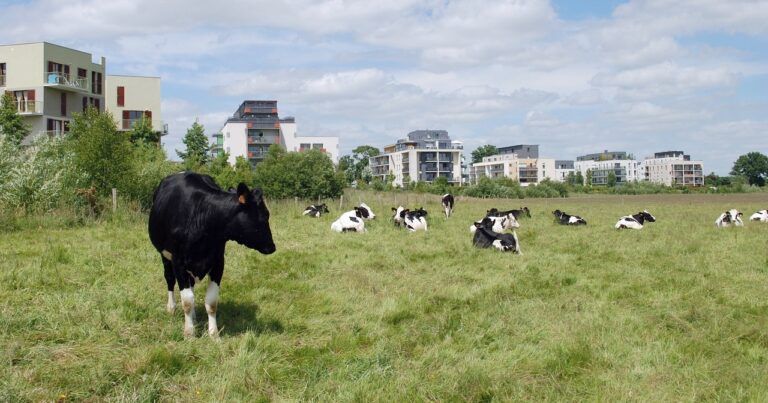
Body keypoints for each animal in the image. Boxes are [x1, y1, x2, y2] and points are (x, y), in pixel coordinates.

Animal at [147, 172, 276, 340]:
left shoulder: (218, 262)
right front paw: (189, 333)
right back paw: (171, 307)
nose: (272, 247)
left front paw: (214, 334)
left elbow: (211, 302)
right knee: (169, 279)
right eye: (265, 215)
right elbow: (187, 301)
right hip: (164, 256)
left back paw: (194, 317)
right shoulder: (178, 262)